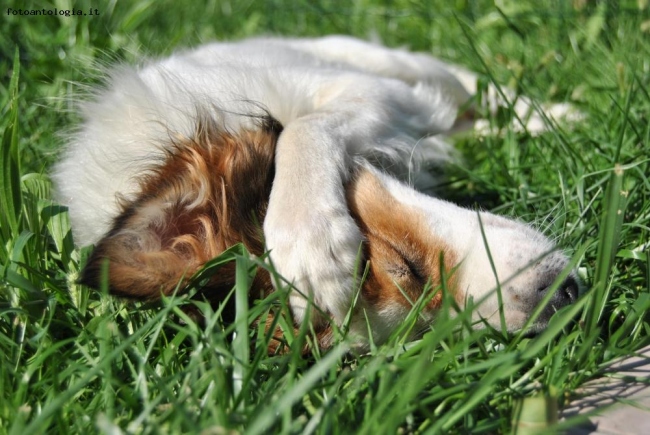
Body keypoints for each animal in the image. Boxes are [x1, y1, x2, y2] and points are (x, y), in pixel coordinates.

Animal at [52, 36, 576, 350]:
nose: (564, 298)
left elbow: (302, 127)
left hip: (383, 61)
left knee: (471, 86)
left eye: (401, 262)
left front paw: (308, 240)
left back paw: (547, 114)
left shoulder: (366, 90)